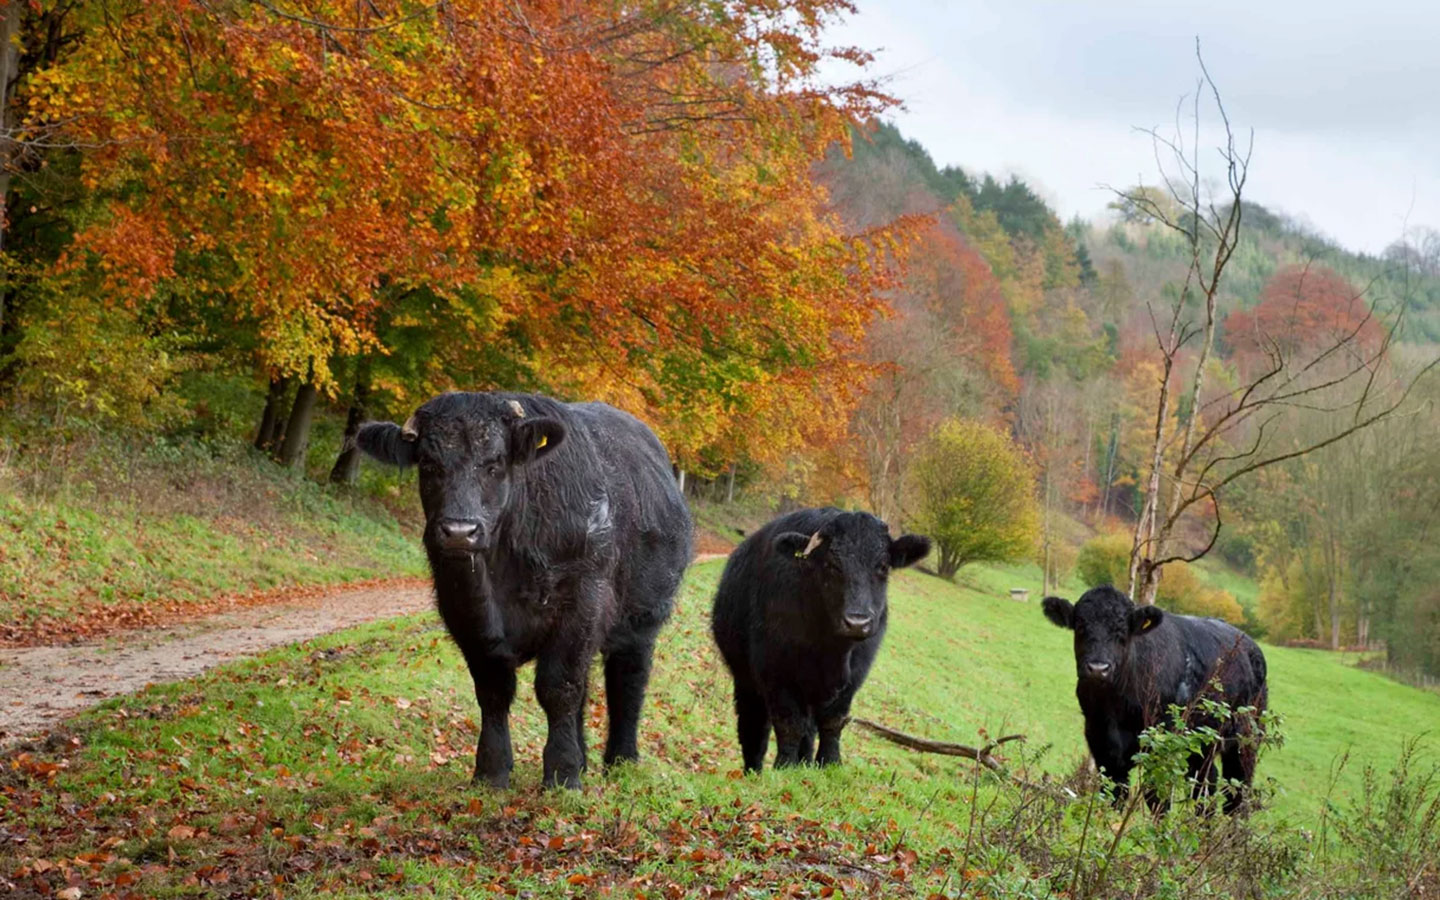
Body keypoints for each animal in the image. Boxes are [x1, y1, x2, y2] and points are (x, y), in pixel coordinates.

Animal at [357, 391, 693, 789]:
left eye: (495, 463)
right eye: (427, 462)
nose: (459, 532)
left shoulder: (583, 603)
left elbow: (558, 688)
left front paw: (562, 775)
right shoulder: (465, 611)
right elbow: (494, 691)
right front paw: (492, 771)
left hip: (642, 618)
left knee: (627, 680)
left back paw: (622, 760)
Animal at [710, 507, 931, 772]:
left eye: (883, 566)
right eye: (831, 565)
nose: (857, 622)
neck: (831, 651)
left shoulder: (853, 678)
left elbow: (832, 722)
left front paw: (829, 763)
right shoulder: (776, 674)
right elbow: (789, 724)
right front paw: (785, 766)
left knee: (809, 728)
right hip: (746, 679)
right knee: (754, 724)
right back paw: (754, 769)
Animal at [1041, 586, 1268, 813]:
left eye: (1122, 631)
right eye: (1080, 625)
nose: (1098, 669)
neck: (1116, 706)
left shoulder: (1161, 744)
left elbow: (1156, 797)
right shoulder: (1101, 742)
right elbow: (1114, 795)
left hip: (1246, 740)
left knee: (1237, 791)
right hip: (1202, 745)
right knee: (1206, 784)